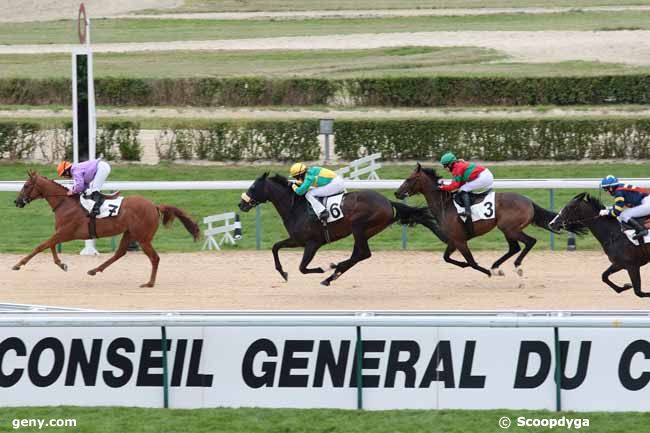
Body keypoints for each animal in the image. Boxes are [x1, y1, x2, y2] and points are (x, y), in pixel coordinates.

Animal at [12, 171, 199, 286]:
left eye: (26, 186)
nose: (17, 201)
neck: (65, 203)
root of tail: (154, 205)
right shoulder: (62, 233)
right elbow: (49, 245)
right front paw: (62, 264)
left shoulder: (67, 232)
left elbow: (41, 245)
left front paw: (18, 264)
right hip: (129, 233)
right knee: (119, 253)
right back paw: (94, 270)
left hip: (143, 237)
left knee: (154, 258)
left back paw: (149, 283)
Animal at [238, 172, 446, 286]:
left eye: (253, 187)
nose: (241, 204)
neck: (295, 207)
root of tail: (388, 202)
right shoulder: (297, 240)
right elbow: (275, 247)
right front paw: (283, 272)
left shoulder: (312, 243)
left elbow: (303, 267)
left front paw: (322, 268)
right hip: (365, 231)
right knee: (359, 255)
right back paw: (333, 274)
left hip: (359, 227)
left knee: (362, 254)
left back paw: (333, 269)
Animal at [392, 164, 556, 276]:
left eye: (409, 179)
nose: (397, 193)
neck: (445, 205)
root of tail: (529, 201)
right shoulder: (454, 240)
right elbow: (446, 258)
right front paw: (467, 266)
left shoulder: (460, 241)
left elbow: (471, 261)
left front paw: (488, 273)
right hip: (508, 229)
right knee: (514, 248)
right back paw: (496, 266)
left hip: (509, 228)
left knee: (529, 241)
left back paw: (515, 266)